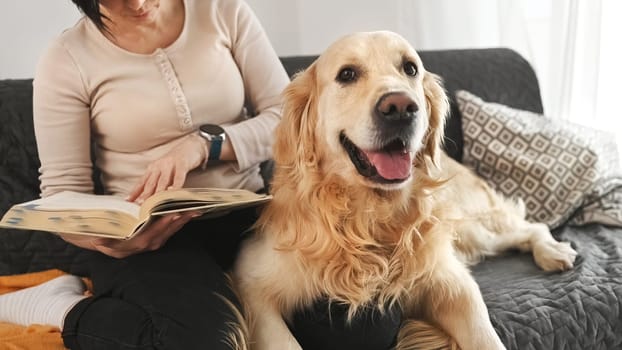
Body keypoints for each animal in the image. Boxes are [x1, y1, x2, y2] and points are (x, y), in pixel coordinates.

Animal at [232, 30, 576, 350]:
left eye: (410, 68)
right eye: (347, 74)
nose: (400, 107)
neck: (372, 216)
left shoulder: (450, 280)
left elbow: (484, 336)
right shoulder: (252, 281)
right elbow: (284, 341)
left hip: (469, 226)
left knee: (531, 226)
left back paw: (553, 250)